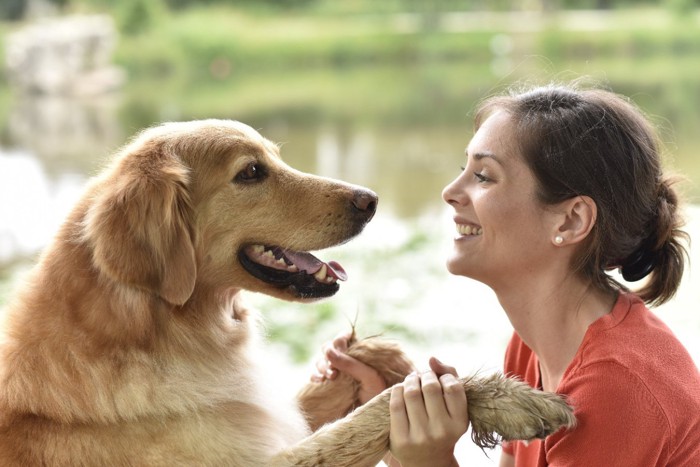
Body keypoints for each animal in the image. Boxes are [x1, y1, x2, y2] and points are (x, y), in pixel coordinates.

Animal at [0, 119, 576, 466]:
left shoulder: (266, 415)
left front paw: (375, 357)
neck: (155, 329)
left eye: (274, 159)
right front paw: (511, 401)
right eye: (252, 172)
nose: (370, 200)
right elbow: (381, 410)